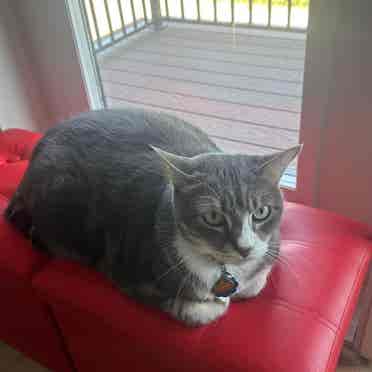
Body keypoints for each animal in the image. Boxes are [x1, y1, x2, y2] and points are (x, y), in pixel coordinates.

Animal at [4, 107, 300, 326]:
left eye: (261, 212)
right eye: (213, 217)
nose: (244, 248)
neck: (223, 269)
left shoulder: (271, 247)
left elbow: (256, 282)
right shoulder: (126, 274)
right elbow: (196, 310)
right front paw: (216, 303)